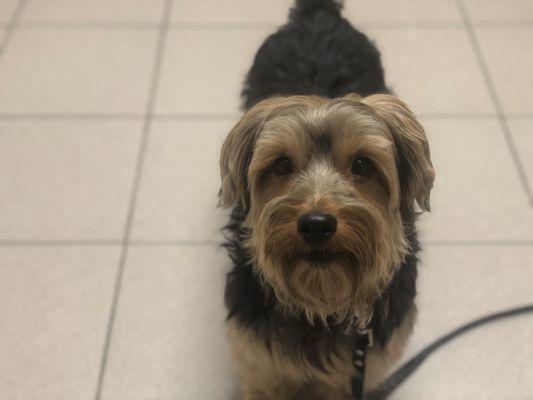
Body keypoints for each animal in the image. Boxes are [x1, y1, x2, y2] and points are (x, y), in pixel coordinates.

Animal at [218, 1, 434, 398]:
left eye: (362, 164)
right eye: (282, 164)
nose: (316, 225)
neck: (321, 305)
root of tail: (317, 13)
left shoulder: (364, 363)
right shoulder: (259, 360)